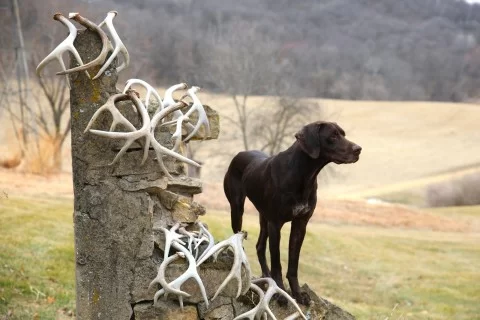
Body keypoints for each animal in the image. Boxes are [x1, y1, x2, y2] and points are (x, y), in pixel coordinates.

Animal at [224, 121, 360, 304]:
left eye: (343, 134)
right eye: (333, 136)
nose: (358, 149)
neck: (303, 174)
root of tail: (239, 153)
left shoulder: (300, 224)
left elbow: (293, 263)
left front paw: (297, 293)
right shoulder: (276, 224)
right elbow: (277, 264)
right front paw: (281, 293)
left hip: (264, 217)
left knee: (260, 246)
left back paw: (266, 276)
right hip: (238, 208)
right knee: (240, 240)